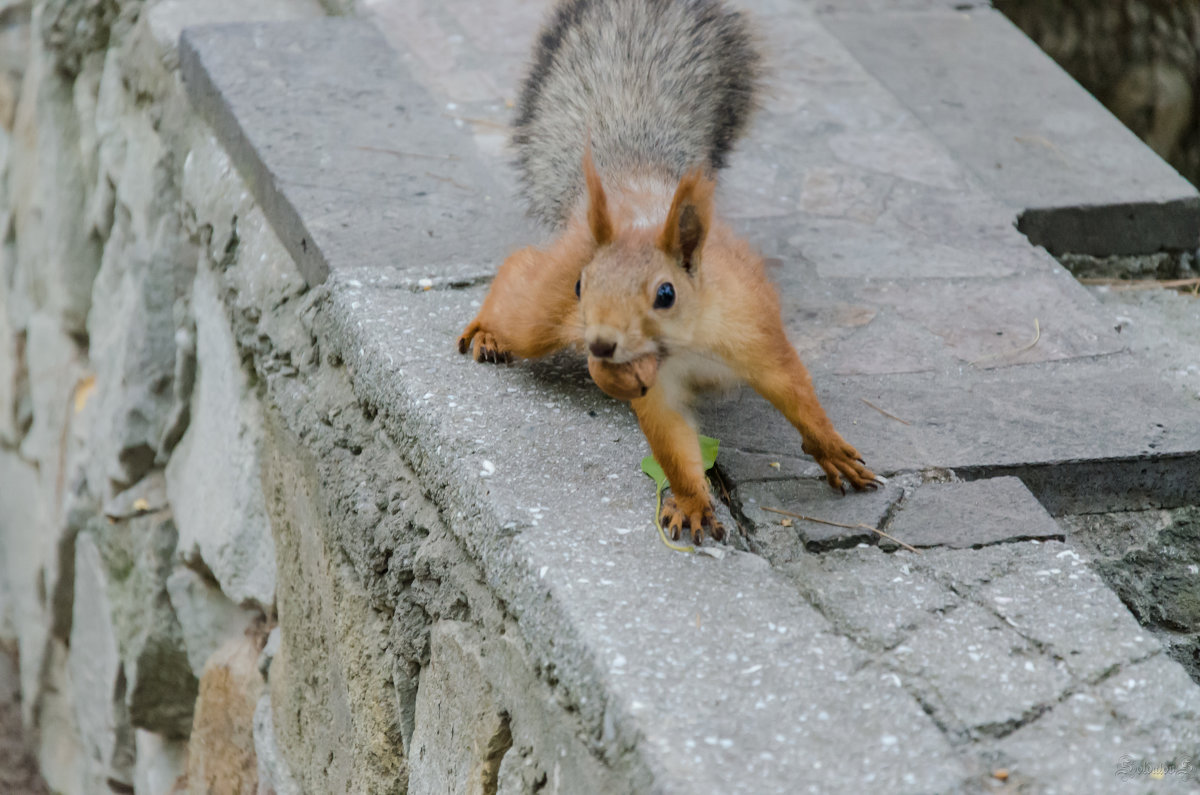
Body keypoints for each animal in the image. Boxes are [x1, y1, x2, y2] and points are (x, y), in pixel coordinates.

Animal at [453, 0, 878, 545]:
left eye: (666, 294)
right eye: (582, 286)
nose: (601, 345)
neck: (685, 345)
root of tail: (630, 182)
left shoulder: (755, 333)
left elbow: (795, 393)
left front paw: (832, 451)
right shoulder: (656, 391)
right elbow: (673, 446)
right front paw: (693, 503)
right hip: (542, 313)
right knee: (520, 274)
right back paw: (488, 330)